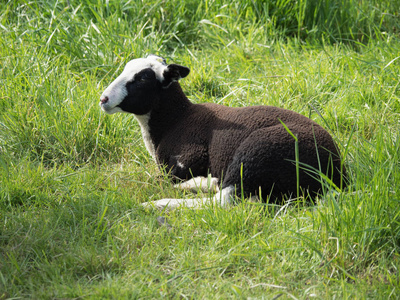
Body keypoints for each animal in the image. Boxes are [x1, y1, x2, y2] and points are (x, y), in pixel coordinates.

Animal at [99, 55, 344, 211]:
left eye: (142, 78)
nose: (103, 99)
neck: (176, 119)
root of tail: (335, 173)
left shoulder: (189, 157)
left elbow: (167, 177)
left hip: (258, 153)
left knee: (221, 201)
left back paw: (158, 204)